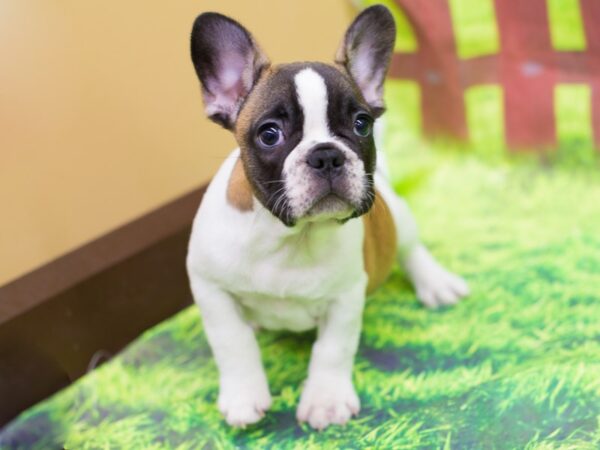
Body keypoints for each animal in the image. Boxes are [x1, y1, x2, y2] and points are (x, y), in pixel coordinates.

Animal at [188, 5, 468, 430]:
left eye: (361, 124)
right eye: (269, 134)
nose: (326, 154)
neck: (288, 238)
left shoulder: (346, 297)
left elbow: (333, 348)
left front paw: (326, 401)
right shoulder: (209, 287)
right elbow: (232, 342)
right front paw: (244, 396)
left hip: (399, 218)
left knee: (412, 249)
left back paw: (436, 284)